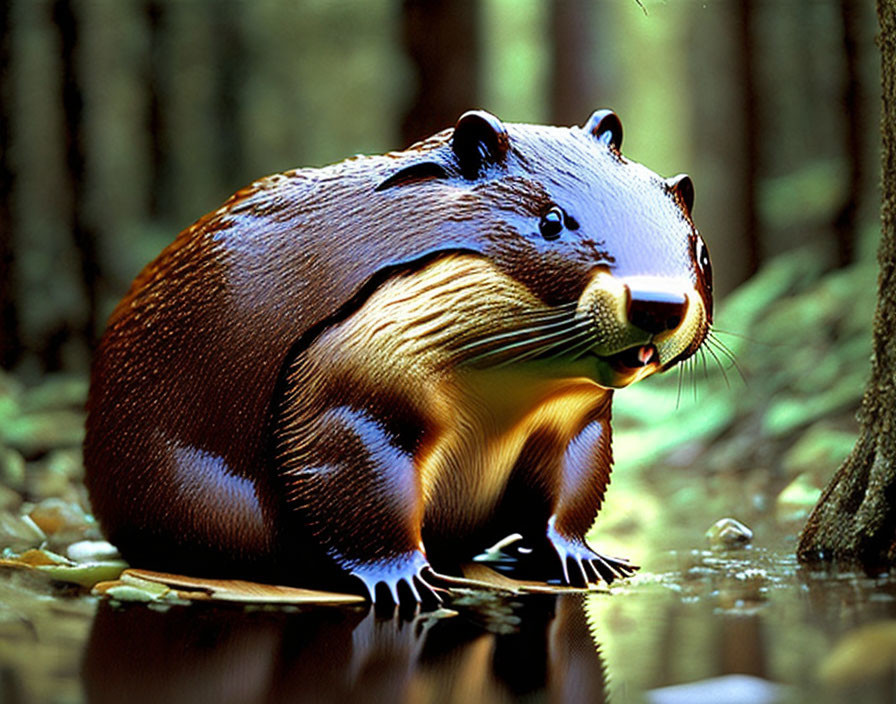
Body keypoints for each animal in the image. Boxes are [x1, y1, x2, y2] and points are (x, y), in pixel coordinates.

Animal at [84, 108, 712, 604]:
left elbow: (573, 487)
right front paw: (407, 581)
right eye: (551, 220)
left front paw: (591, 560)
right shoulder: (351, 379)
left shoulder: (576, 418)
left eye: (699, 246)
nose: (659, 303)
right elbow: (353, 479)